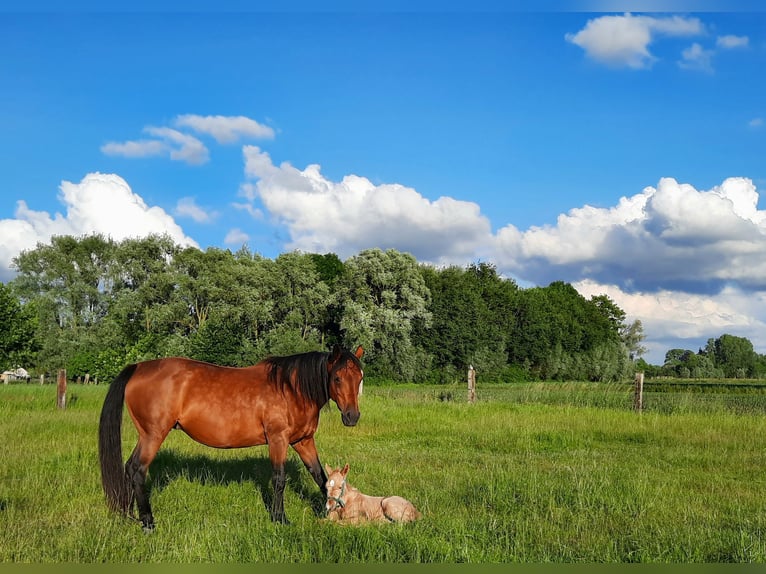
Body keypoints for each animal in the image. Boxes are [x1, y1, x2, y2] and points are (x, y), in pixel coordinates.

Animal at [100, 346, 366, 532]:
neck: (291, 389)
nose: (352, 417)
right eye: (337, 378)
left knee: (129, 468)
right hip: (153, 435)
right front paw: (280, 519)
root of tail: (138, 367)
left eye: (360, 378)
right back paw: (148, 522)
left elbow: (321, 477)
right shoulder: (278, 440)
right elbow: (279, 480)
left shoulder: (303, 441)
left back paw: (129, 514)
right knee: (137, 470)